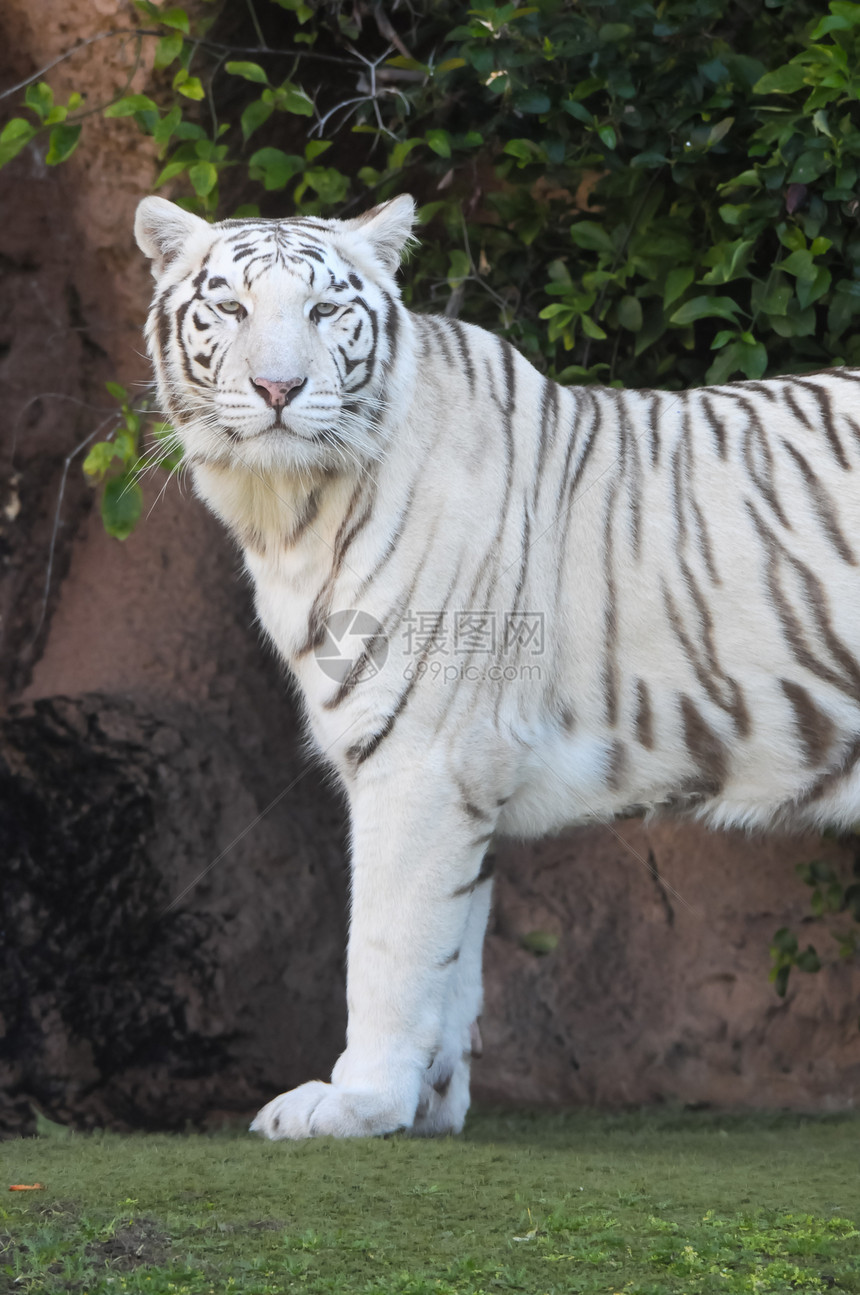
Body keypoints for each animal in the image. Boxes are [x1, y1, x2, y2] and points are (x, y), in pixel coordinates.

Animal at [135, 189, 860, 1134]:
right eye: (230, 308)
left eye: (324, 311)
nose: (278, 389)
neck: (285, 508)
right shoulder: (465, 770)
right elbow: (454, 950)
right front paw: (428, 1104)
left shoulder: (422, 758)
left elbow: (387, 943)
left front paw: (357, 1100)